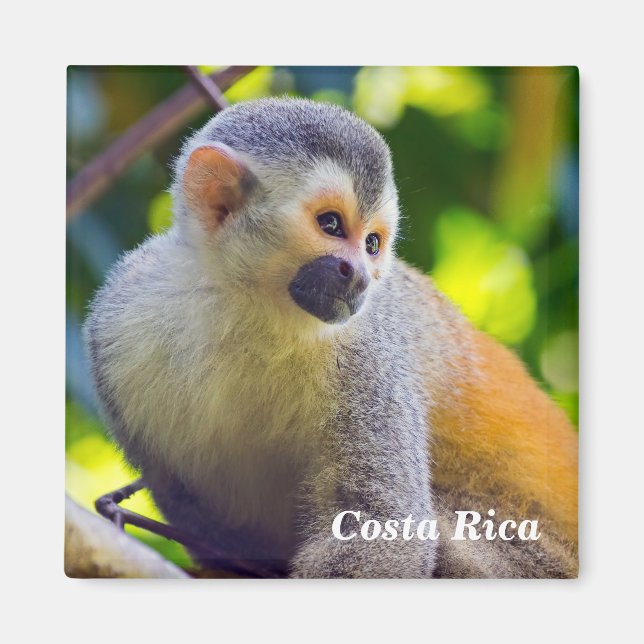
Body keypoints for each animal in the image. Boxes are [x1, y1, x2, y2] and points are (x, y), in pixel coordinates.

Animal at [83, 97, 578, 578]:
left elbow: (383, 527)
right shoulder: (118, 320)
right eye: (332, 225)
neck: (245, 305)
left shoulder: (366, 354)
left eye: (372, 244)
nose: (359, 275)